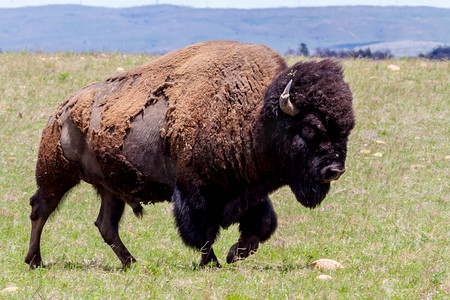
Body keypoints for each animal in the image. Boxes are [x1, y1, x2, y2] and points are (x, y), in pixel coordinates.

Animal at [24, 40, 356, 270]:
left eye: (347, 128)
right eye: (310, 127)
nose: (334, 170)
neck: (257, 116)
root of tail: (62, 109)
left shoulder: (247, 189)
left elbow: (262, 225)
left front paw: (235, 254)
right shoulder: (196, 191)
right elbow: (203, 231)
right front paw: (214, 262)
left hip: (110, 189)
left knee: (106, 225)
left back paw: (132, 263)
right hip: (57, 175)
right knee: (40, 210)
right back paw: (34, 260)